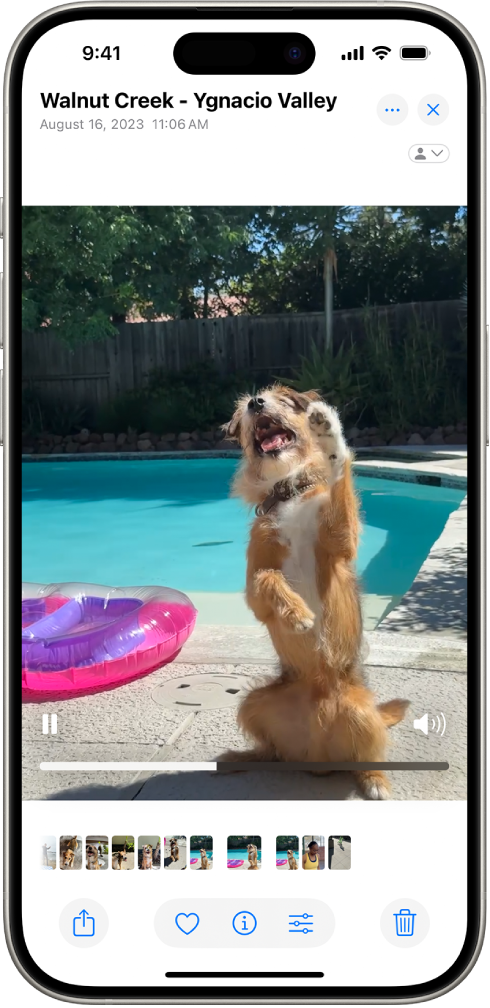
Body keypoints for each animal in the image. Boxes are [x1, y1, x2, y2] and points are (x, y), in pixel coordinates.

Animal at [217, 385, 409, 802]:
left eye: (282, 401)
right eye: (245, 410)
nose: (255, 402)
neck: (289, 490)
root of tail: (318, 757)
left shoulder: (339, 543)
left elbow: (340, 484)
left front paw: (331, 440)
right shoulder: (256, 587)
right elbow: (268, 579)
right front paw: (297, 613)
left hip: (362, 712)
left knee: (370, 752)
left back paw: (375, 780)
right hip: (253, 703)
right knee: (272, 750)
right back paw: (242, 758)